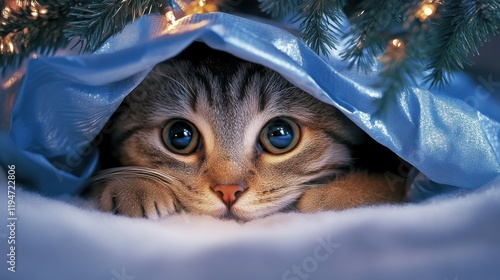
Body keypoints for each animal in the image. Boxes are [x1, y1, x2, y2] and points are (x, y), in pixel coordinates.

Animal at [86, 42, 406, 221]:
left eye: (280, 134)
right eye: (179, 136)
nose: (228, 191)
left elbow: (392, 185)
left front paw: (335, 193)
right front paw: (132, 184)